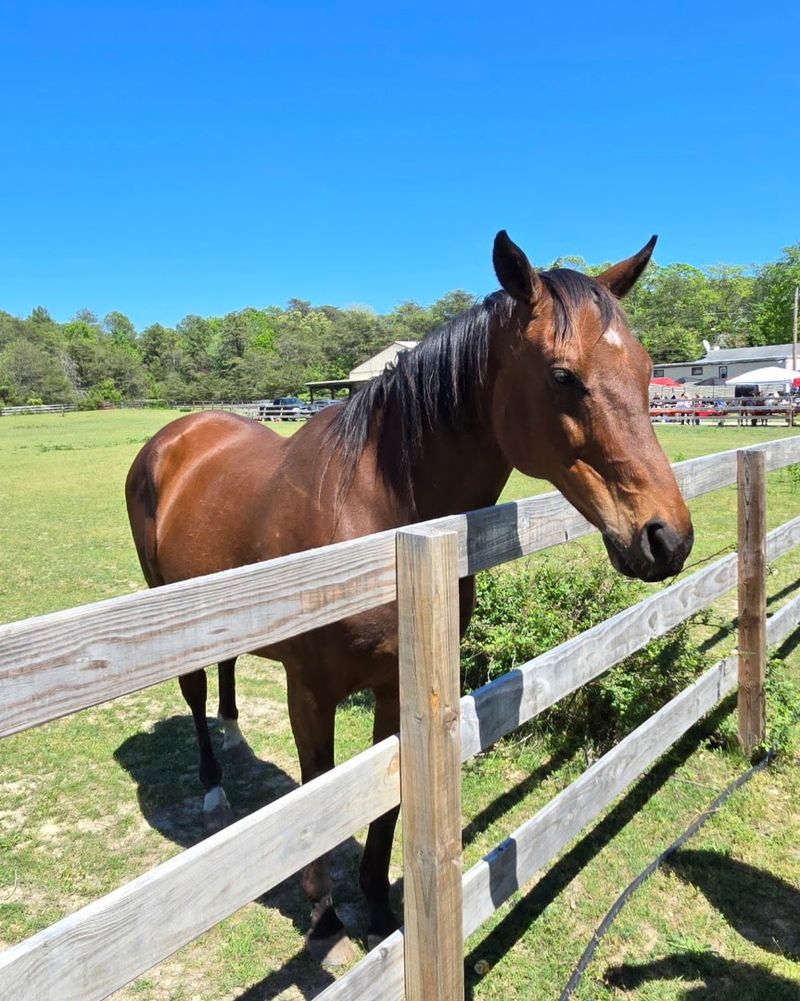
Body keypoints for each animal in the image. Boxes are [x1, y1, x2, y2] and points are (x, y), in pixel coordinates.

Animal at [125, 230, 694, 964]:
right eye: (563, 376)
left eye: (651, 370)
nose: (667, 537)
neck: (380, 522)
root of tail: (175, 437)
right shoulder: (310, 691)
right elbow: (320, 799)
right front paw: (327, 922)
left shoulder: (396, 688)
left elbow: (387, 805)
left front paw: (377, 910)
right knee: (195, 695)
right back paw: (213, 786)